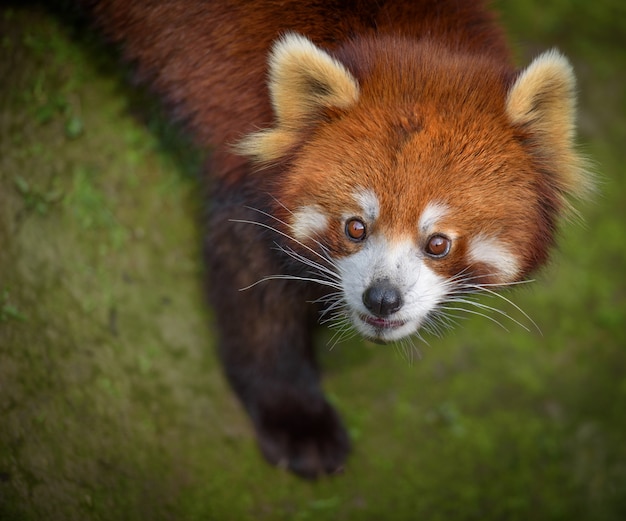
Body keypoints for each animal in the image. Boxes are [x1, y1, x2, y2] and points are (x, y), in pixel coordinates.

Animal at [89, 0, 588, 478]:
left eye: (438, 243)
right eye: (355, 227)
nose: (382, 298)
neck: (408, 35)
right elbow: (257, 302)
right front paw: (296, 417)